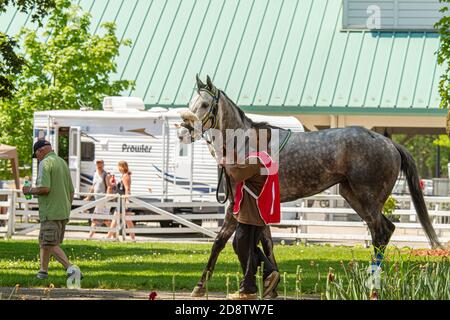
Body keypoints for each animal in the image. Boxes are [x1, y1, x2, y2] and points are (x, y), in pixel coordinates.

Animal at [178, 75, 442, 298]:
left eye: (204, 105)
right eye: (190, 103)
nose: (183, 132)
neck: (247, 143)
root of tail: (389, 143)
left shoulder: (237, 204)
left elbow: (220, 242)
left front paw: (200, 286)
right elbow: (266, 242)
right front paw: (271, 283)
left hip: (367, 196)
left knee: (381, 232)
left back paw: (371, 283)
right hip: (353, 196)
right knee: (384, 230)